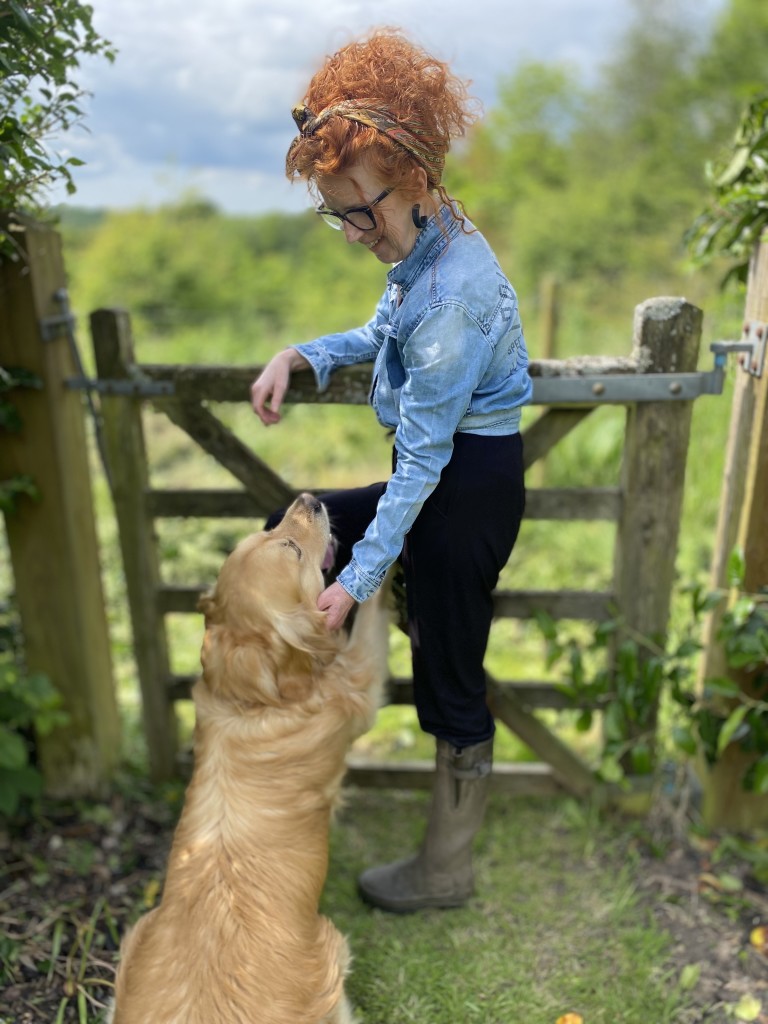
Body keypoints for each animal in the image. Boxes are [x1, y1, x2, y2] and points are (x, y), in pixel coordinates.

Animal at [109, 493, 391, 1024]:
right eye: (291, 549)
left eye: (266, 533)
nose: (310, 498)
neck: (253, 698)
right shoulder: (357, 682)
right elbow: (367, 621)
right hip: (332, 956)